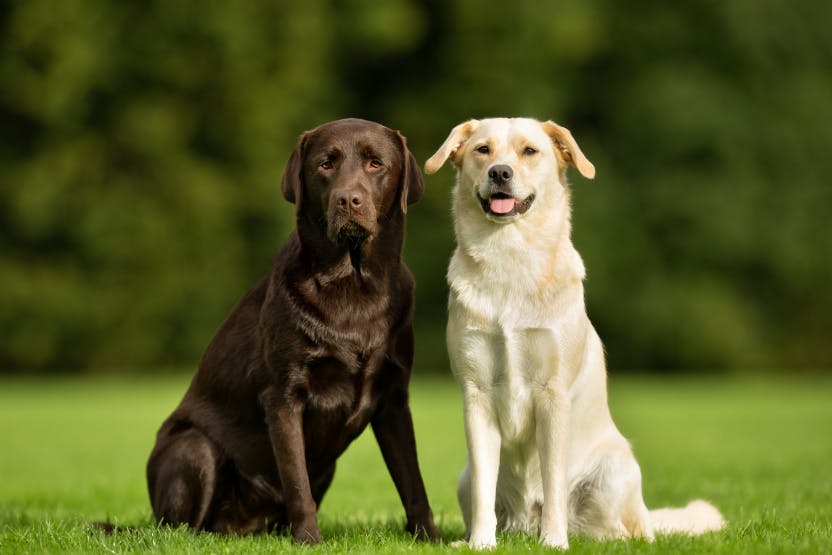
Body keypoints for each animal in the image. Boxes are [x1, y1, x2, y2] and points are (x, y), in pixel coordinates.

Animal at [145, 118, 438, 544]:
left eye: (375, 163)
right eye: (325, 164)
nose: (348, 201)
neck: (353, 285)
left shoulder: (394, 399)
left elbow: (413, 482)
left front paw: (432, 538)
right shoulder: (283, 396)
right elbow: (296, 481)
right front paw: (310, 541)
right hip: (194, 448)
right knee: (182, 527)